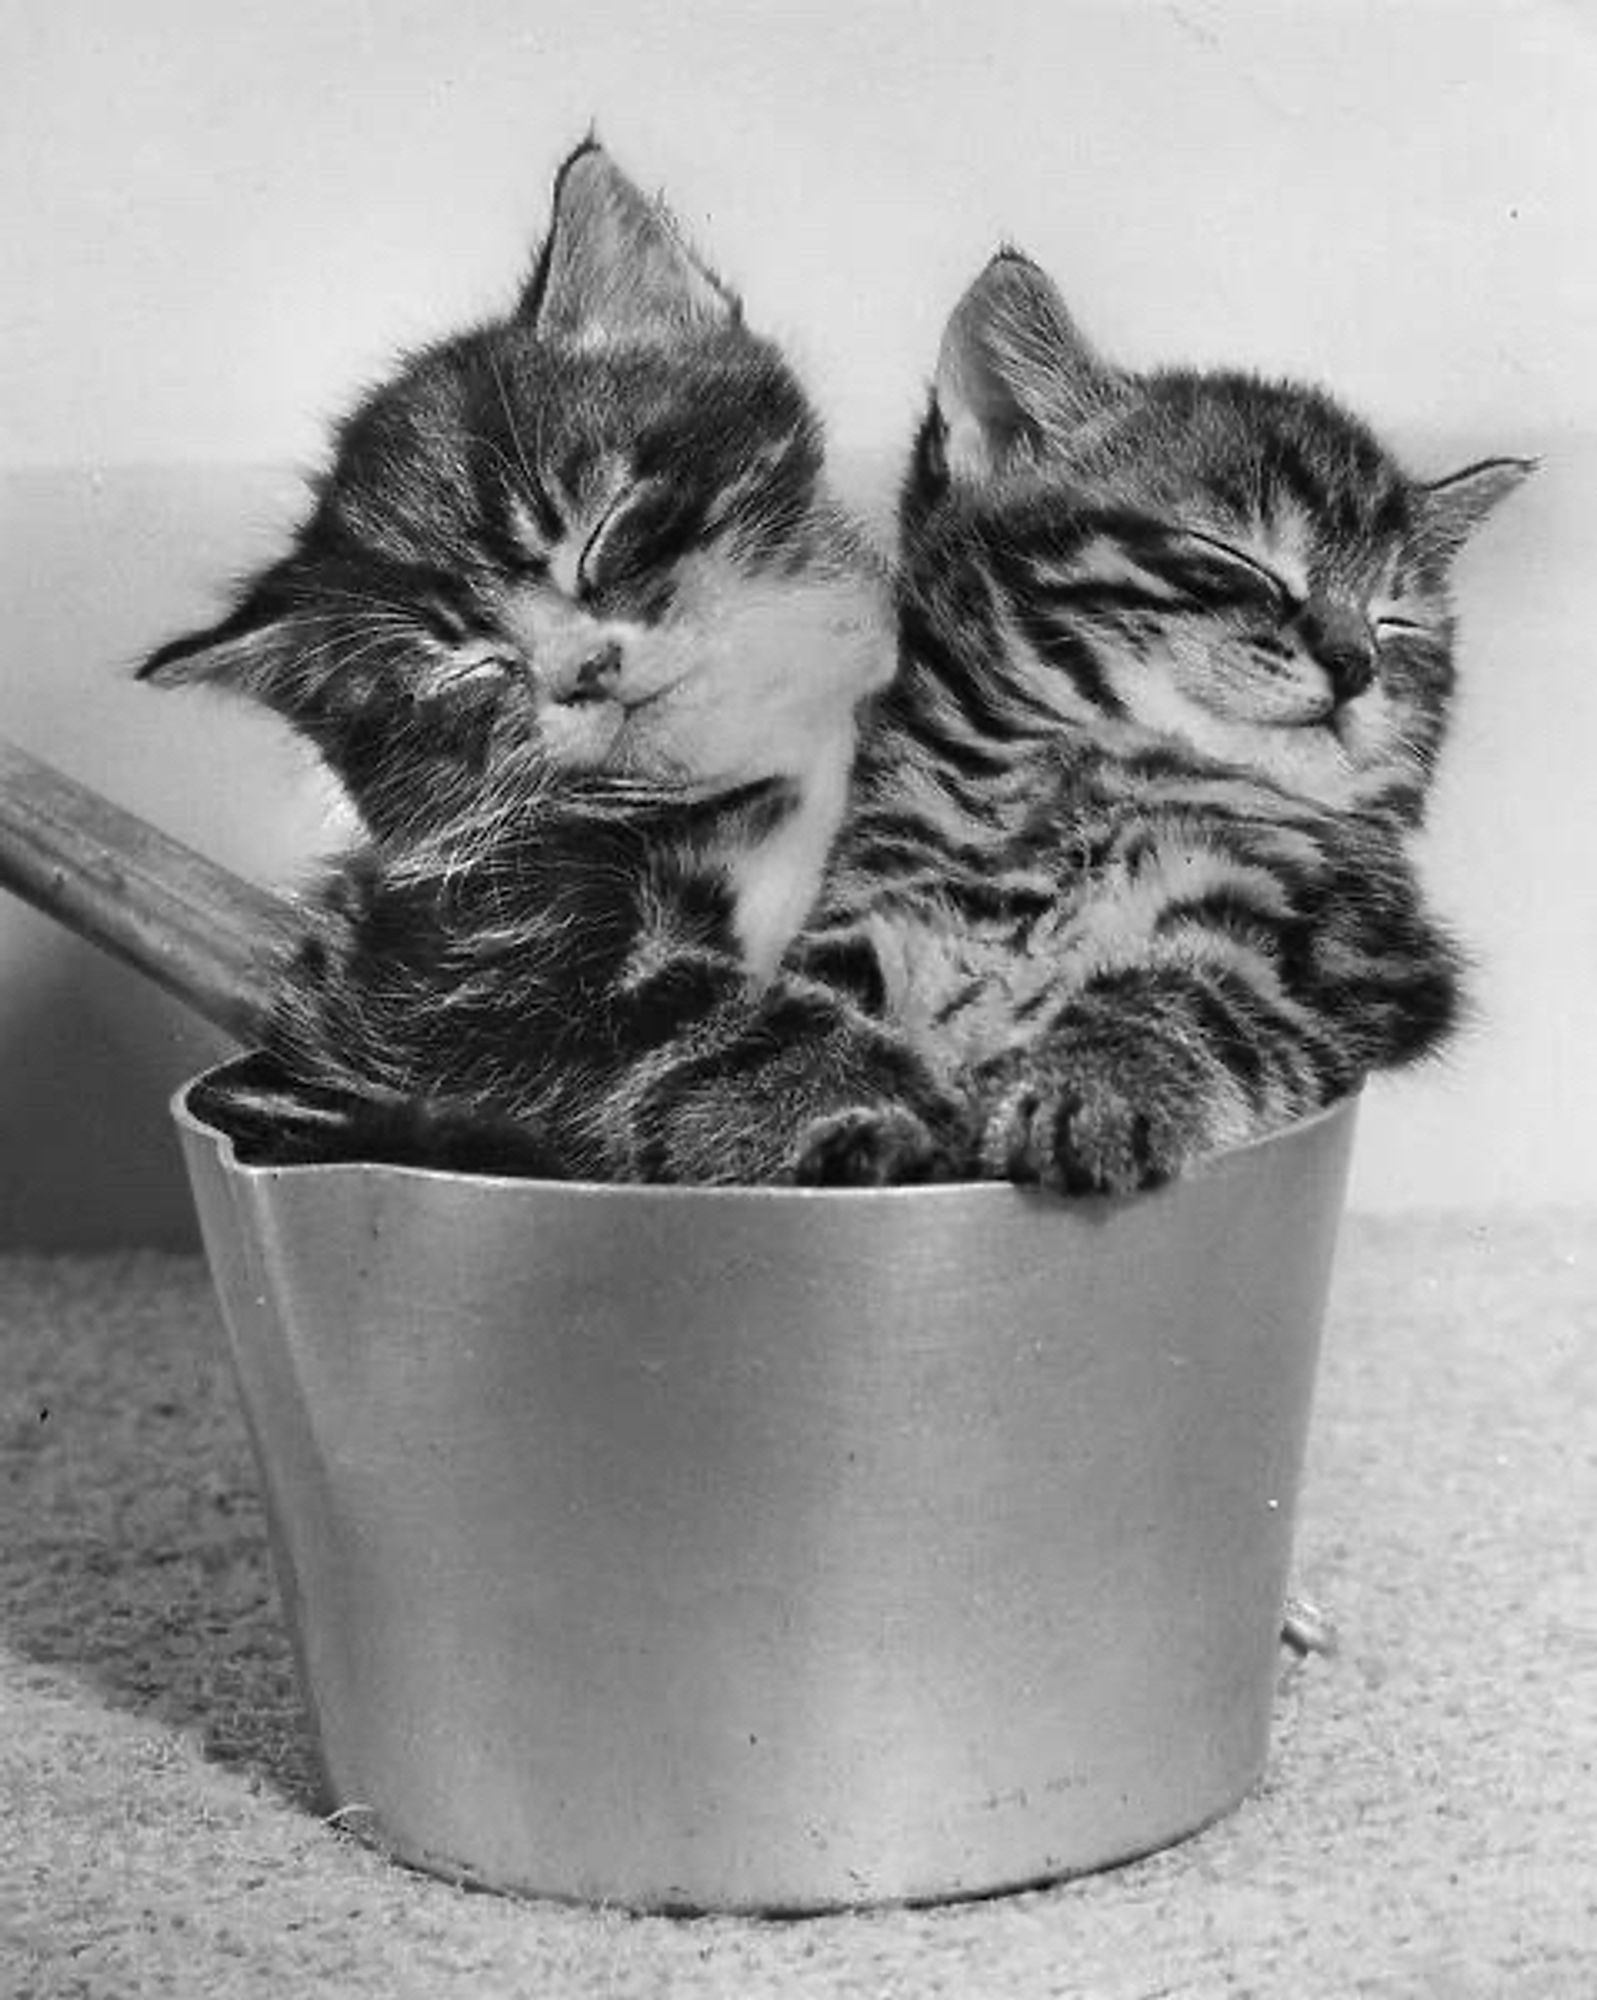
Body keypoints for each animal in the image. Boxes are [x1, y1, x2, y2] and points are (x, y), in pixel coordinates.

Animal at [792, 250, 1528, 1184]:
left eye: (1395, 623)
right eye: (1238, 558)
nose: (1356, 663)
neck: (1100, 778)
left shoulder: (1361, 955)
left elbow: (1192, 991)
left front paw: (1092, 1088)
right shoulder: (868, 891)